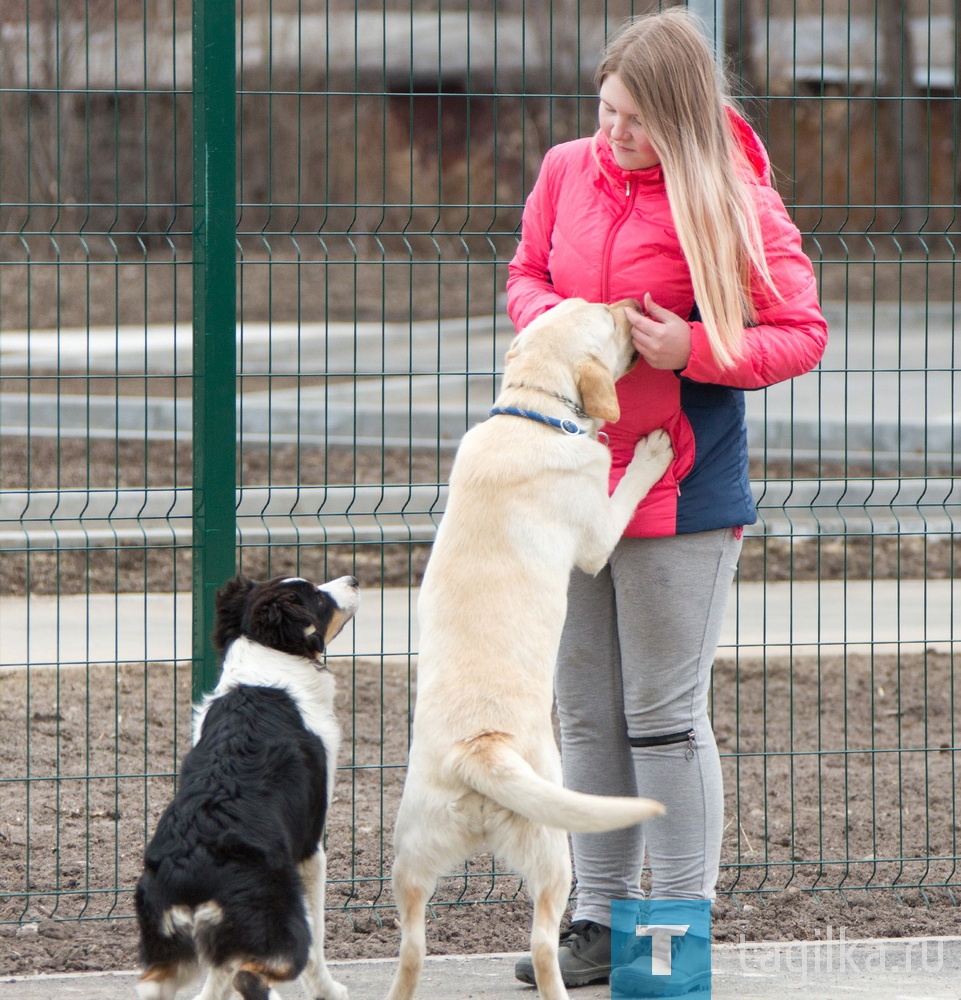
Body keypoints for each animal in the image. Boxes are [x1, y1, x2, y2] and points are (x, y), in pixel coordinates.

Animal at [133, 572, 358, 1000]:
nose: (353, 579)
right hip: (280, 922)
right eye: (318, 597)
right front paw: (330, 990)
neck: (268, 660)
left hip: (167, 955)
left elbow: (216, 979)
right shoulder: (310, 850)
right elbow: (319, 940)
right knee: (253, 973)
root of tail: (189, 873)